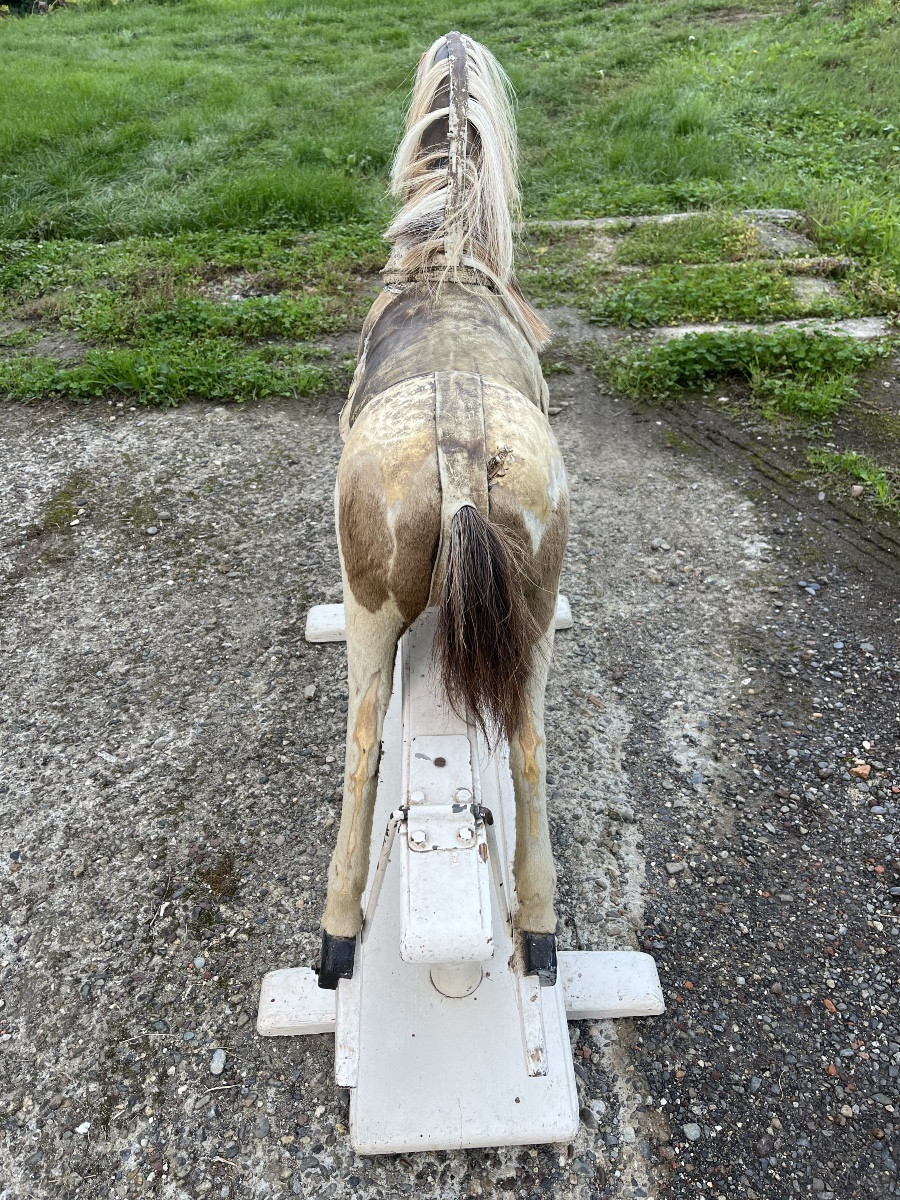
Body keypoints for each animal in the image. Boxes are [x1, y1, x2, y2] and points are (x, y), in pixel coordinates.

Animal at [317, 31, 570, 990]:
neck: (446, 262)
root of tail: (461, 450)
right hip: (531, 616)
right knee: (529, 754)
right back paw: (538, 927)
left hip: (369, 612)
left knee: (361, 756)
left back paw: (336, 935)